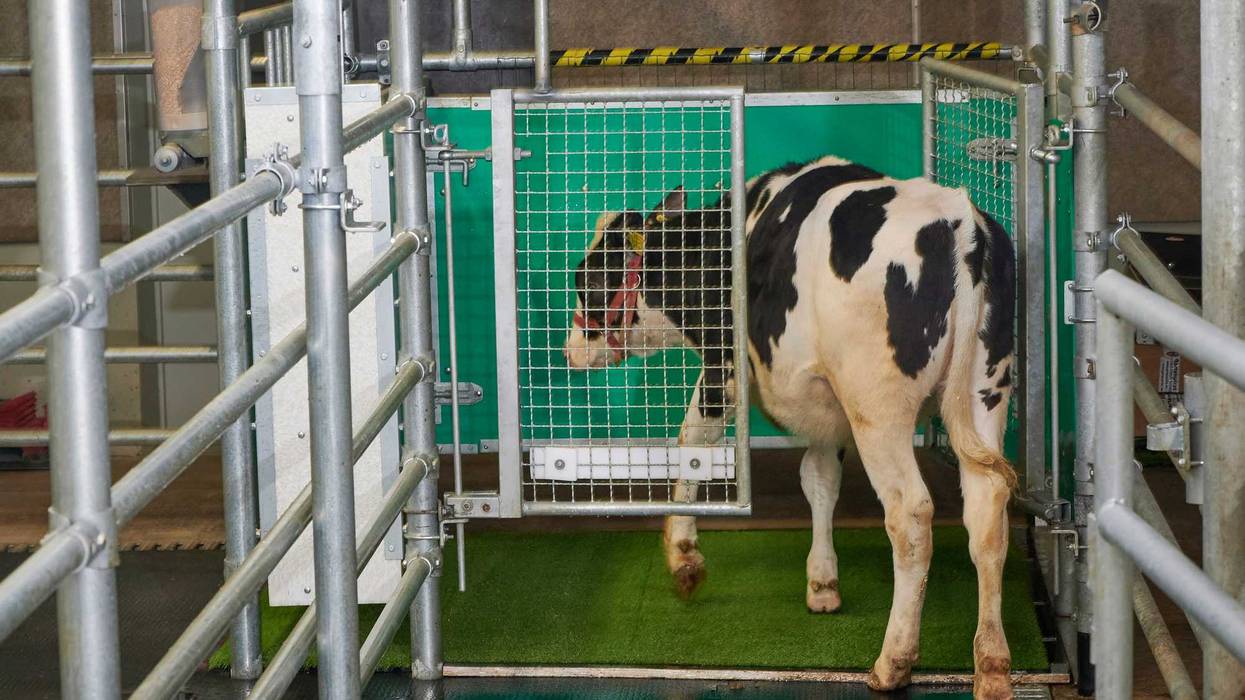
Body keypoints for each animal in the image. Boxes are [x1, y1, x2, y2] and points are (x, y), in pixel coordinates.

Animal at [562, 155, 1018, 699]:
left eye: (588, 280)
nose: (569, 349)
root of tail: (959, 221)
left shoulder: (724, 369)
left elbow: (694, 442)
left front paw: (683, 556)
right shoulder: (825, 408)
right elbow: (819, 479)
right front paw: (822, 584)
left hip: (877, 406)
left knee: (909, 516)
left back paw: (894, 661)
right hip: (984, 389)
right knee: (988, 510)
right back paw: (991, 665)